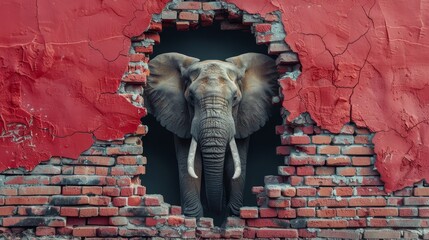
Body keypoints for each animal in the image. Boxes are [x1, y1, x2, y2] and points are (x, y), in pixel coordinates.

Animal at [144, 52, 278, 218]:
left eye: (235, 98)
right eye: (191, 98)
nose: (217, 210)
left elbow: (234, 165)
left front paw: (234, 216)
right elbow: (191, 164)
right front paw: (194, 218)